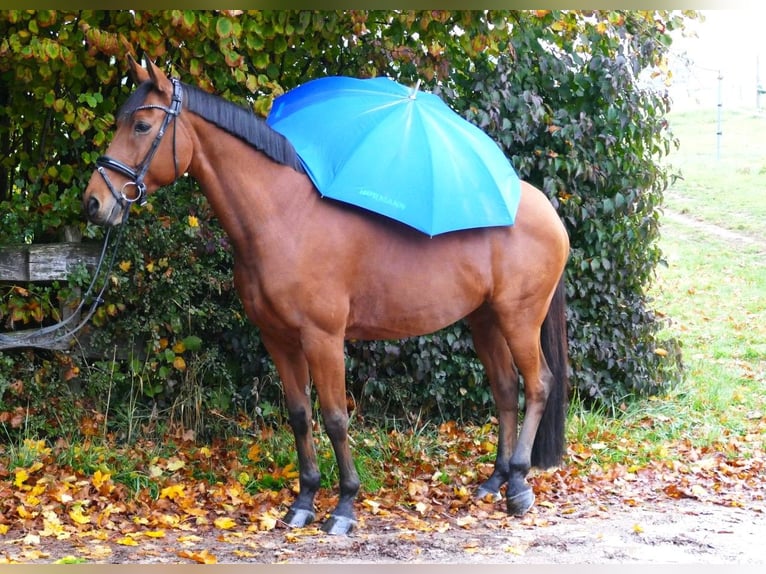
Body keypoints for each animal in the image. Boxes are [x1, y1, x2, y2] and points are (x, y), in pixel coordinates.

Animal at [83, 55, 571, 535]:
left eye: (141, 126)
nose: (94, 202)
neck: (285, 218)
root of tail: (544, 208)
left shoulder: (323, 338)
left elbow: (336, 417)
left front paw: (344, 507)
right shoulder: (279, 338)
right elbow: (300, 415)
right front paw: (302, 503)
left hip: (519, 318)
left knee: (538, 385)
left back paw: (519, 487)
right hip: (484, 319)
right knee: (505, 388)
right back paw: (494, 482)